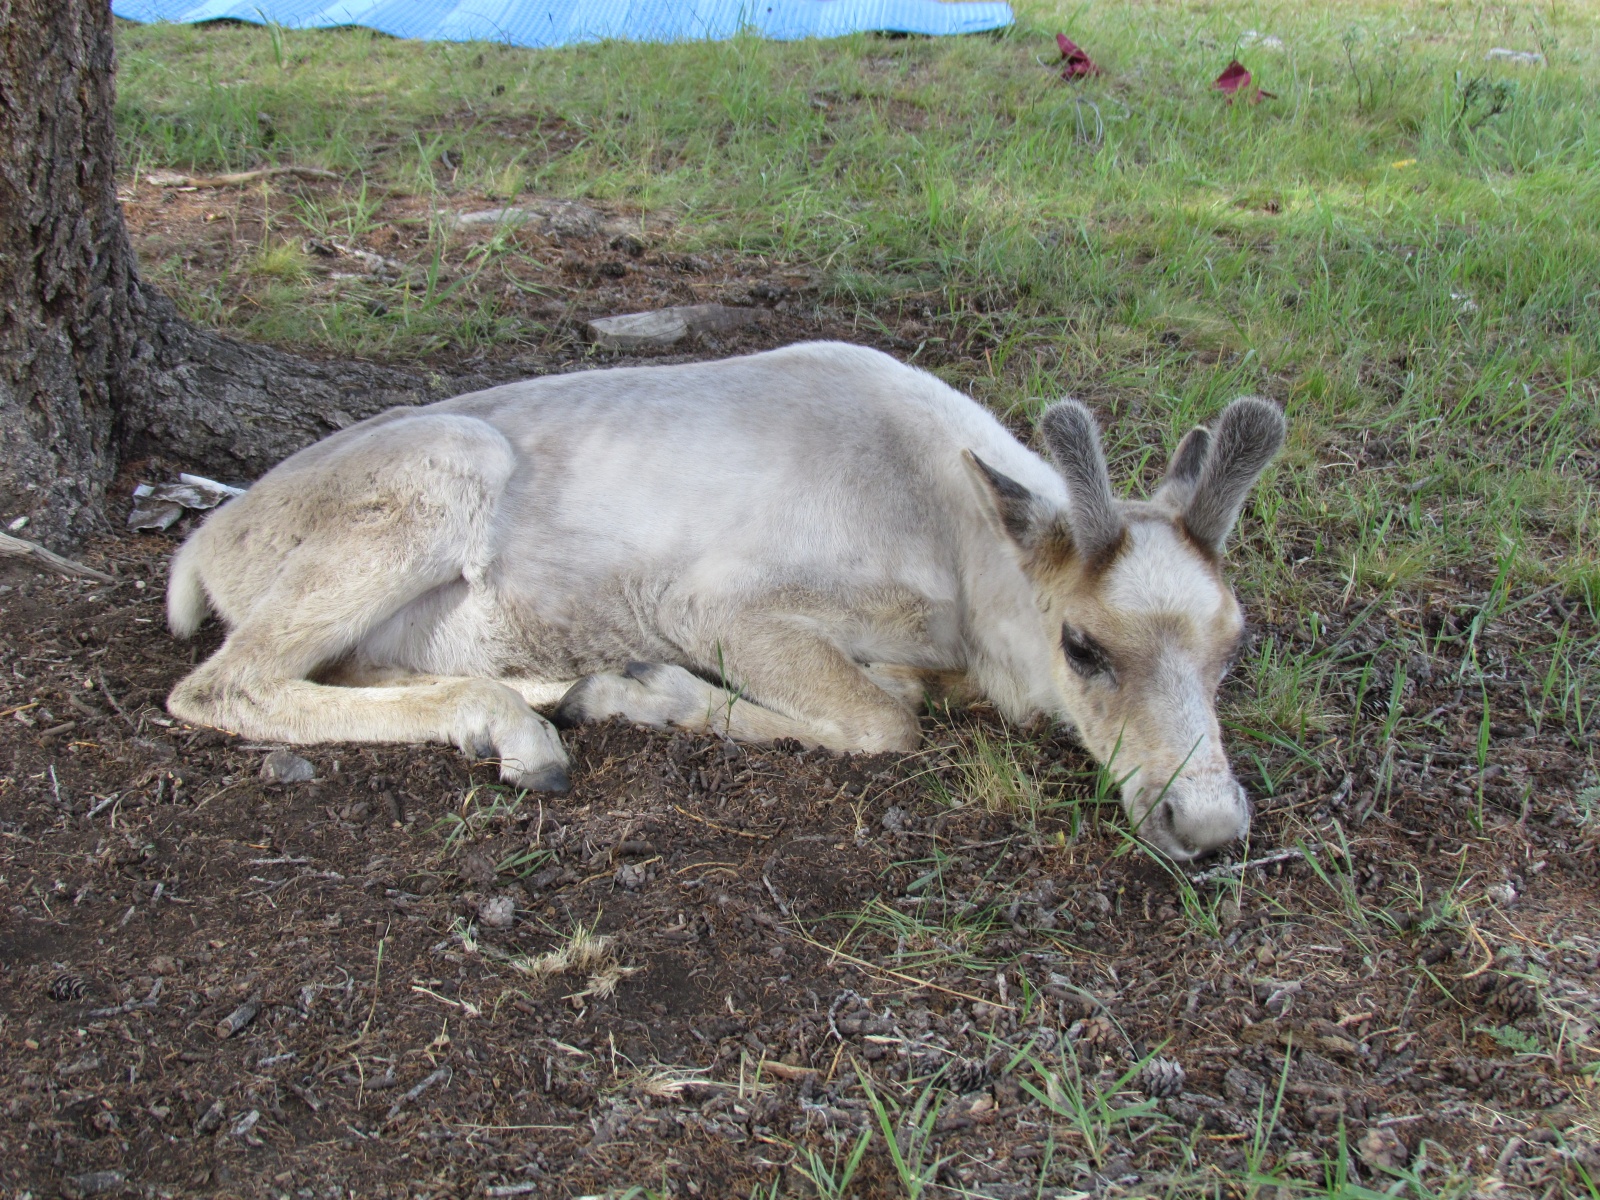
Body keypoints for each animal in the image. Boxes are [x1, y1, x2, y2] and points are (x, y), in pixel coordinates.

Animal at [164, 341, 1284, 859]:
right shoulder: (724, 610)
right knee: (221, 685)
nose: (1208, 824)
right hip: (441, 471)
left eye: (1233, 647)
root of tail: (206, 542)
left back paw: (541, 699)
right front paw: (655, 693)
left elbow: (906, 696)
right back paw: (530, 730)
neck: (963, 550)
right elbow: (885, 723)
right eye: (1083, 645)